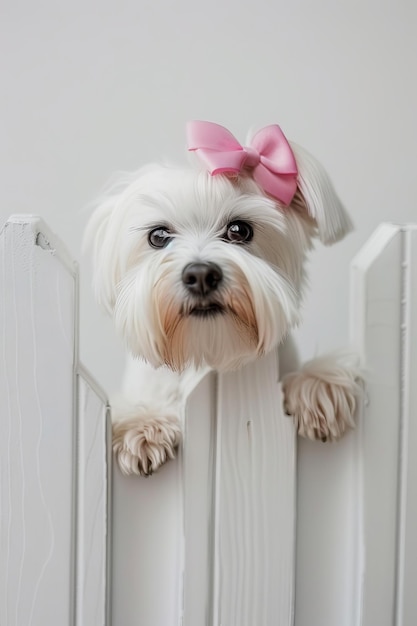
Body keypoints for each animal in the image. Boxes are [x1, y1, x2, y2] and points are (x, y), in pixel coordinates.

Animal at [84, 120, 358, 472]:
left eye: (239, 230)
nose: (201, 275)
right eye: (158, 236)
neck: (208, 353)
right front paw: (143, 426)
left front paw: (318, 386)